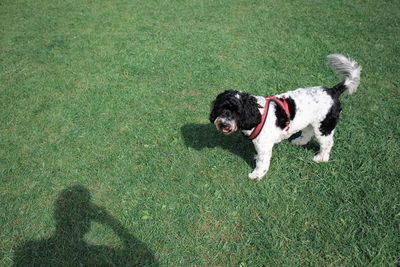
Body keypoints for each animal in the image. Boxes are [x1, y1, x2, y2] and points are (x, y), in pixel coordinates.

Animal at [211, 54, 360, 182]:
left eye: (237, 112)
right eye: (223, 108)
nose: (224, 123)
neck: (257, 114)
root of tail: (332, 91)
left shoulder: (264, 146)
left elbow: (262, 162)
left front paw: (257, 175)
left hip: (324, 126)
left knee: (327, 143)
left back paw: (321, 158)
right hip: (310, 122)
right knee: (308, 133)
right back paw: (299, 141)